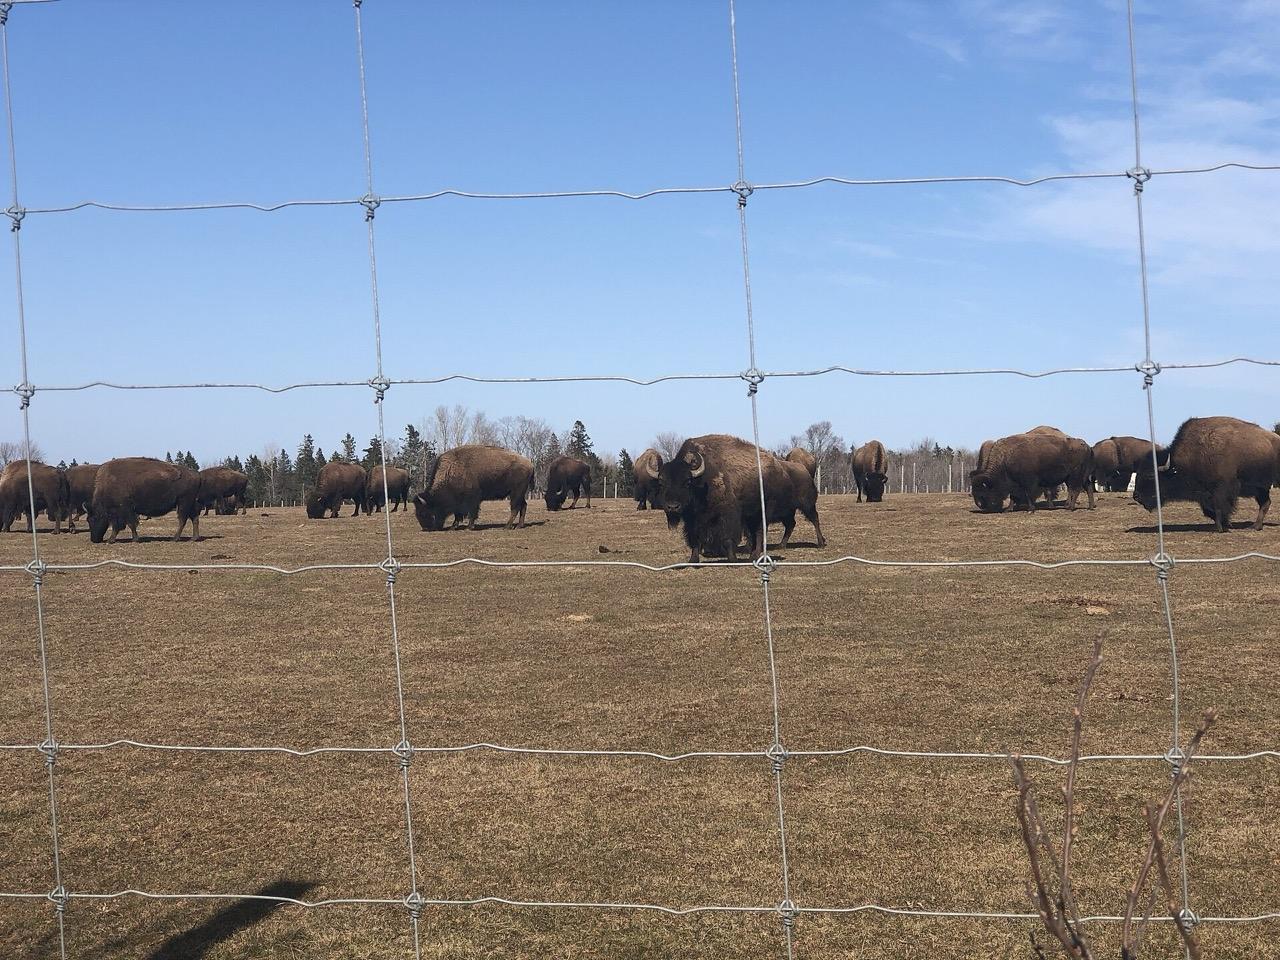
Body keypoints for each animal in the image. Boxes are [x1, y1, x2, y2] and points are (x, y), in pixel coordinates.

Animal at [650, 434, 824, 563]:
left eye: (687, 482)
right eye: (661, 482)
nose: (672, 507)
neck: (702, 479)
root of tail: (782, 469)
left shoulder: (729, 515)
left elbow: (728, 537)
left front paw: (732, 559)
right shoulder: (693, 519)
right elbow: (695, 538)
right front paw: (693, 560)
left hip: (797, 506)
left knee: (805, 521)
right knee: (786, 525)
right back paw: (776, 547)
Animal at [1134, 416, 1280, 532]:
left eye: (1150, 475)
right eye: (1138, 474)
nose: (1136, 496)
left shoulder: (1222, 490)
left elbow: (1220, 508)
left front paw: (1222, 528)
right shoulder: (1204, 494)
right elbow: (1209, 511)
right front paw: (1225, 525)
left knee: (1264, 503)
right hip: (1261, 488)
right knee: (1265, 503)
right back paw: (1255, 526)